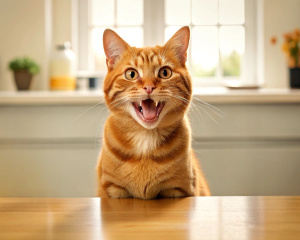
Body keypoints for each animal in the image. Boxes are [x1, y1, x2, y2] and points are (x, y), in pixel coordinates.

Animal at [97, 26, 210, 199]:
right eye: (131, 74)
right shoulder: (113, 190)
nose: (149, 87)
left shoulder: (178, 189)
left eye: (165, 73)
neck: (146, 138)